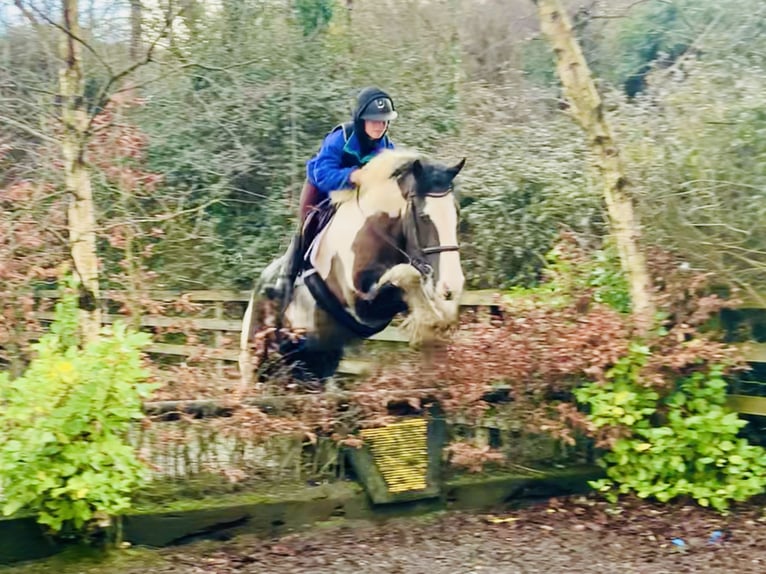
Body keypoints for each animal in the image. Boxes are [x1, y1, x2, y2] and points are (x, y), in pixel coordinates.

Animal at [240, 150, 468, 392]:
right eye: (424, 217)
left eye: (456, 213)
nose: (454, 283)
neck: (375, 229)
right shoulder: (361, 305)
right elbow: (407, 274)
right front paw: (430, 324)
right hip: (254, 361)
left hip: (314, 362)